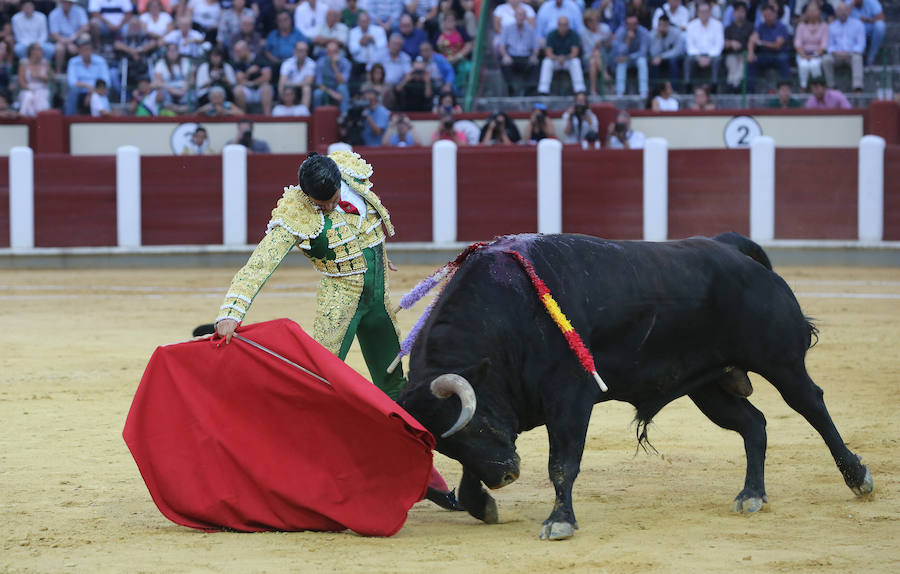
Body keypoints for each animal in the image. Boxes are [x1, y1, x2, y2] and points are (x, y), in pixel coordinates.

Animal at [398, 233, 876, 540]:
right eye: (447, 446)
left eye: (472, 426)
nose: (506, 477)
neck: (505, 318)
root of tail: (735, 249)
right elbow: (469, 478)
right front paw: (484, 506)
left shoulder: (570, 399)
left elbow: (562, 463)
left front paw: (559, 521)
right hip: (709, 387)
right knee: (753, 425)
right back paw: (751, 495)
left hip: (781, 363)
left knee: (813, 407)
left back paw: (858, 477)